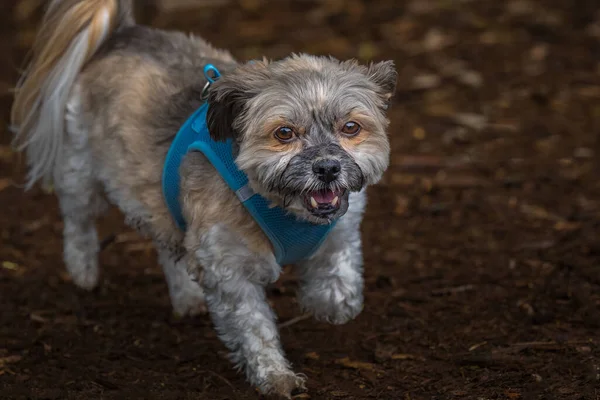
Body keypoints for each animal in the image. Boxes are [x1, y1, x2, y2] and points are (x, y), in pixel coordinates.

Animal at [11, 0, 396, 396]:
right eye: (284, 133)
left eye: (350, 127)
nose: (328, 168)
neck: (282, 205)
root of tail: (125, 33)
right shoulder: (227, 268)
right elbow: (254, 328)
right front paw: (275, 375)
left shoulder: (342, 230)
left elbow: (343, 285)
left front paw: (325, 304)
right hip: (83, 175)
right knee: (79, 221)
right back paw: (83, 270)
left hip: (156, 196)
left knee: (167, 244)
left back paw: (186, 296)